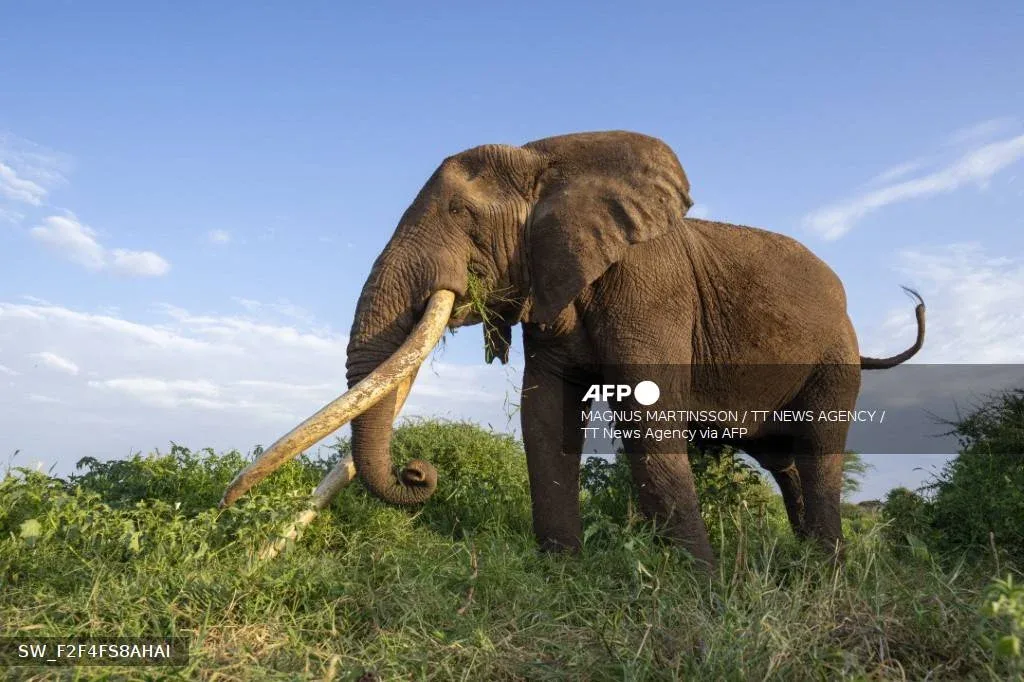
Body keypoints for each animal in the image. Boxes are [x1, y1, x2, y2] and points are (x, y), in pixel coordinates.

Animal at [220, 130, 925, 567]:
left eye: (462, 218)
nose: (419, 472)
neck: (548, 159)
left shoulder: (650, 285)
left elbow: (647, 415)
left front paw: (700, 588)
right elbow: (545, 414)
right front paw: (564, 572)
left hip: (836, 355)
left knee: (820, 452)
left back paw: (824, 574)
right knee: (785, 463)